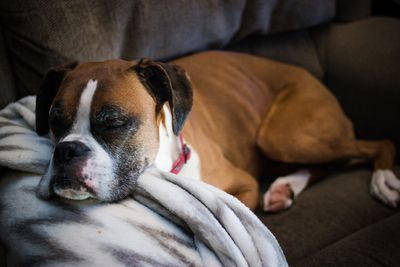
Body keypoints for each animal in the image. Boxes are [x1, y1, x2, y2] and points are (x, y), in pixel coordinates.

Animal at [35, 51, 400, 213]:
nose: (66, 151)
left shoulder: (245, 187)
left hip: (280, 137)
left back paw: (384, 179)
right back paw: (284, 188)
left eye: (113, 123)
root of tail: (315, 78)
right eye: (54, 122)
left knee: (377, 143)